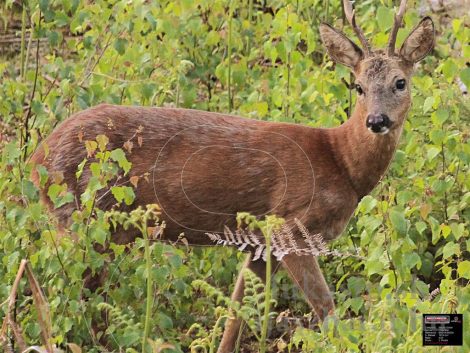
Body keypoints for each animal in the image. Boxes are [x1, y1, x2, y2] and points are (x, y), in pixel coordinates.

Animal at [28, 1, 434, 350]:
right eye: (358, 86)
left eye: (400, 82)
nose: (377, 120)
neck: (341, 163)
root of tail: (35, 160)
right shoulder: (289, 225)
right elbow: (327, 310)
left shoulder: (258, 242)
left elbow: (237, 316)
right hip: (83, 217)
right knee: (60, 294)